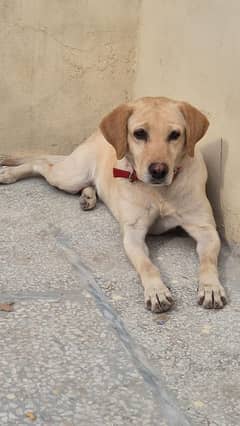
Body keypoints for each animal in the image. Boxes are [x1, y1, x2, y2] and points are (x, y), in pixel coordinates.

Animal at [0, 97, 227, 312]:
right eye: (139, 133)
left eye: (174, 134)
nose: (158, 170)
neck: (160, 193)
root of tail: (94, 135)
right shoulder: (133, 234)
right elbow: (148, 266)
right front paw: (156, 290)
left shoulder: (206, 230)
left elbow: (208, 262)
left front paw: (211, 287)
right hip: (70, 176)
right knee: (40, 163)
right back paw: (10, 174)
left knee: (85, 182)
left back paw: (88, 197)